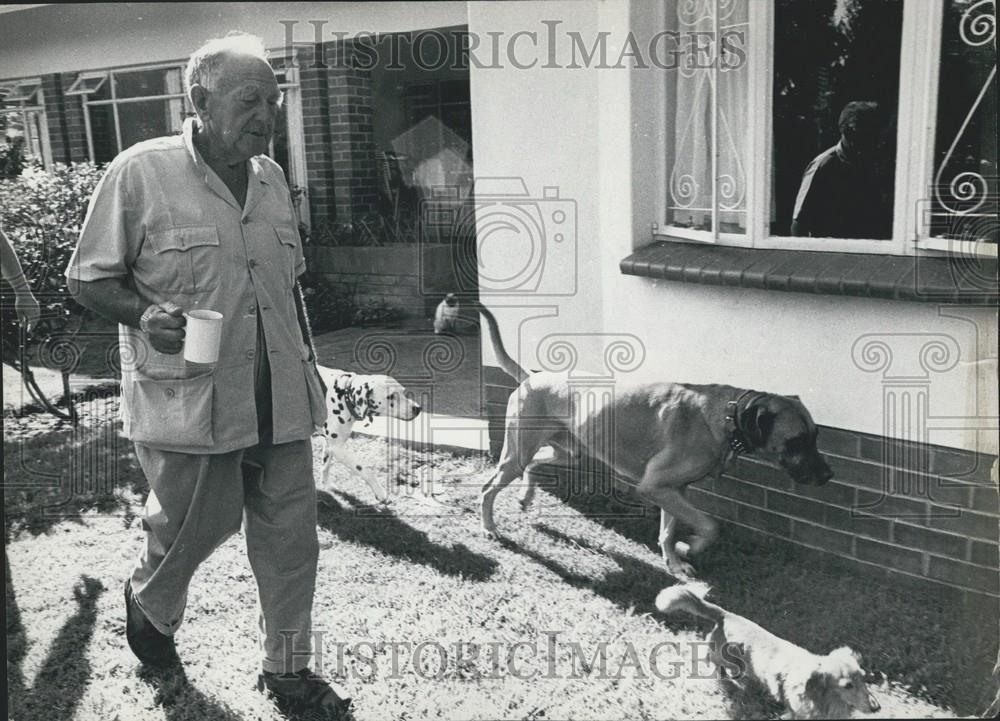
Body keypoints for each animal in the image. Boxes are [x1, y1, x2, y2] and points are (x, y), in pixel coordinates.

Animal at [314, 368, 420, 504]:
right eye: (391, 396)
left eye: (402, 392)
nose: (418, 408)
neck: (343, 396)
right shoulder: (338, 448)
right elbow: (366, 470)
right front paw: (380, 492)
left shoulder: (331, 446)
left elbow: (325, 466)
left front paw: (326, 484)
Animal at [472, 302, 832, 572]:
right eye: (798, 441)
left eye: (816, 436)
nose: (829, 475)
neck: (726, 414)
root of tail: (532, 377)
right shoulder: (656, 486)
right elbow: (709, 525)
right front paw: (692, 547)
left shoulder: (673, 489)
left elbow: (668, 531)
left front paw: (674, 562)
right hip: (517, 453)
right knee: (489, 488)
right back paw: (489, 527)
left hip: (567, 452)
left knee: (534, 464)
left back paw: (525, 496)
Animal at [656, 584, 884, 720]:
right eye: (847, 686)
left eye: (864, 678)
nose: (876, 708)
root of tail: (726, 615)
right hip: (723, 657)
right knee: (712, 661)